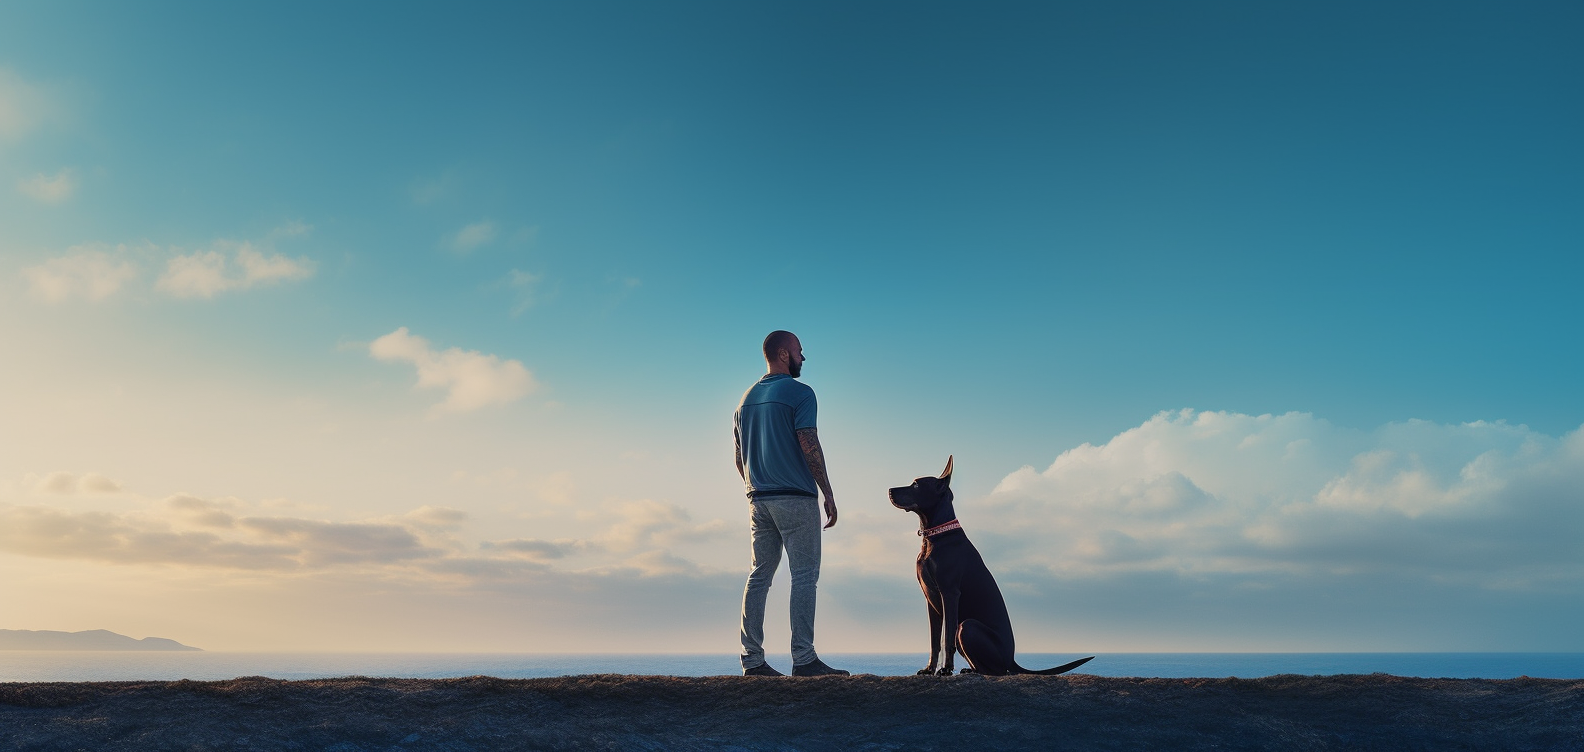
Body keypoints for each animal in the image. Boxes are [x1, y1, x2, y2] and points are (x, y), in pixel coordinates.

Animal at [887, 455, 1096, 680]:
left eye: (916, 484)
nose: (889, 490)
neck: (935, 536)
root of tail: (1011, 659)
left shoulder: (949, 593)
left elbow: (945, 638)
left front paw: (945, 669)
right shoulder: (931, 600)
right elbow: (934, 642)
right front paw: (929, 669)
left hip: (967, 627)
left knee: (997, 670)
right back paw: (969, 670)